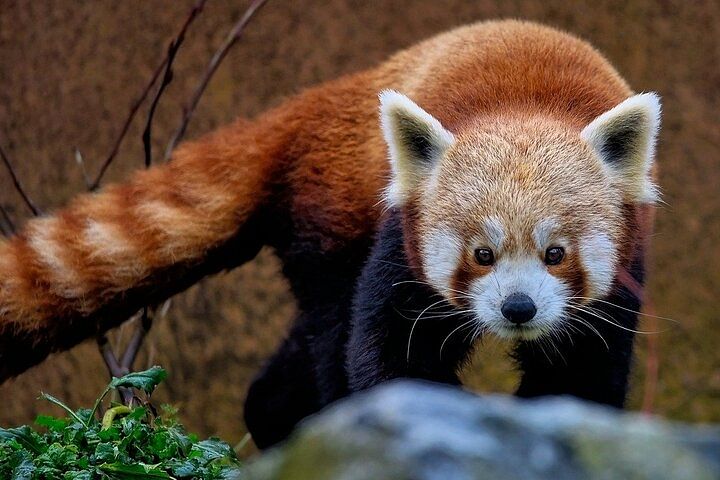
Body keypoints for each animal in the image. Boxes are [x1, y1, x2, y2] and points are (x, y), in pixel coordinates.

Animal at [0, 18, 660, 446]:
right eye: (481, 252)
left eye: (556, 253)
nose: (518, 308)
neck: (528, 103)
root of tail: (312, 105)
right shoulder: (400, 234)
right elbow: (386, 349)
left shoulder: (625, 263)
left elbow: (581, 372)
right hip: (333, 221)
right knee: (332, 325)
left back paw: (274, 419)